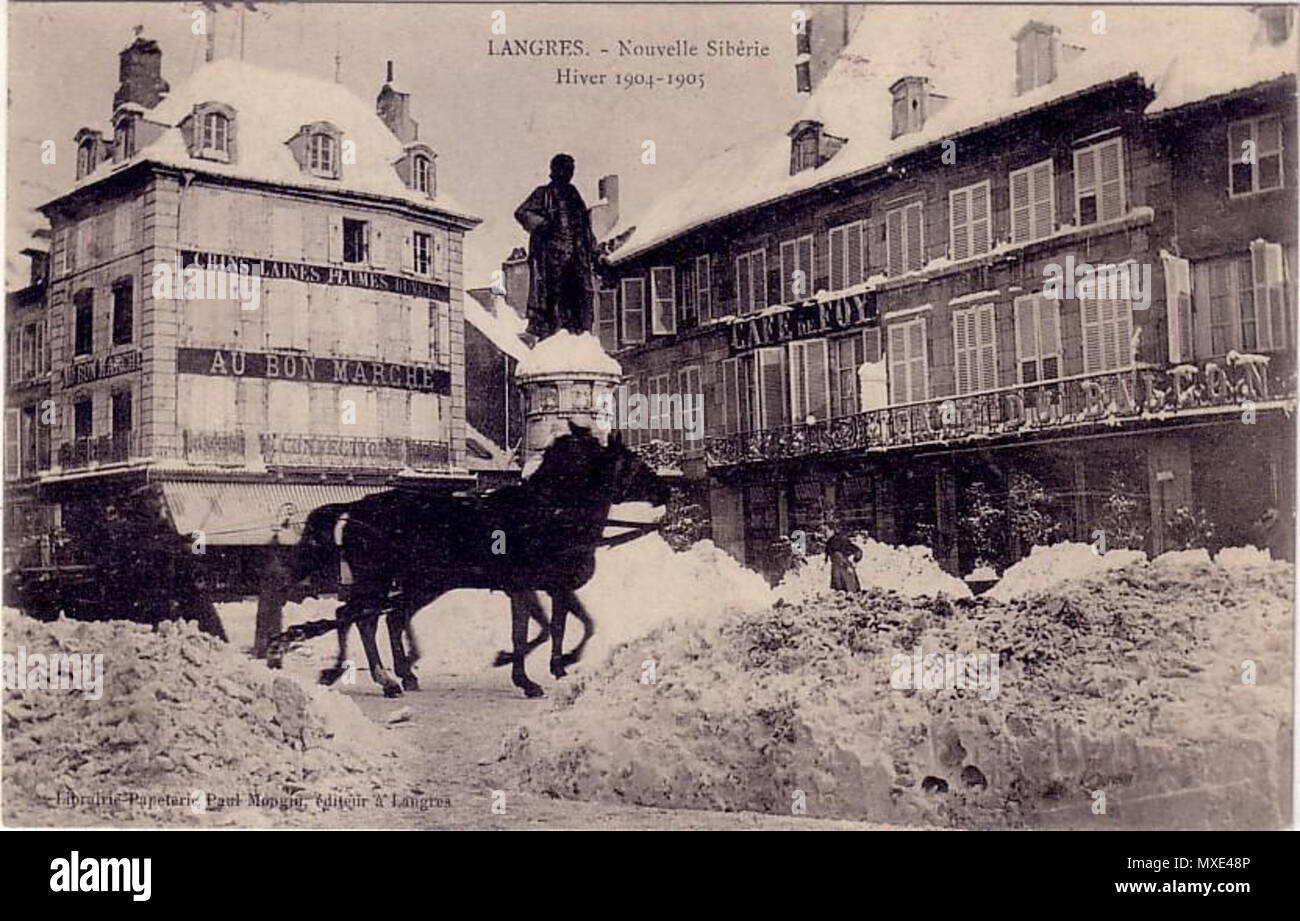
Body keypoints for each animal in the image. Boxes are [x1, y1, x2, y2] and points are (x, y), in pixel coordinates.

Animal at [280, 424, 665, 697]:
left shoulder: (552, 586)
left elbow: (566, 625)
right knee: (360, 619)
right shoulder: (524, 586)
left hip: (415, 584)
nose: (667, 490)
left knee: (373, 617)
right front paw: (524, 677)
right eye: (634, 462)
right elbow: (527, 631)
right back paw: (383, 678)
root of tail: (355, 508)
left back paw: (392, 673)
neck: (547, 512)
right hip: (377, 581)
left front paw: (558, 664)